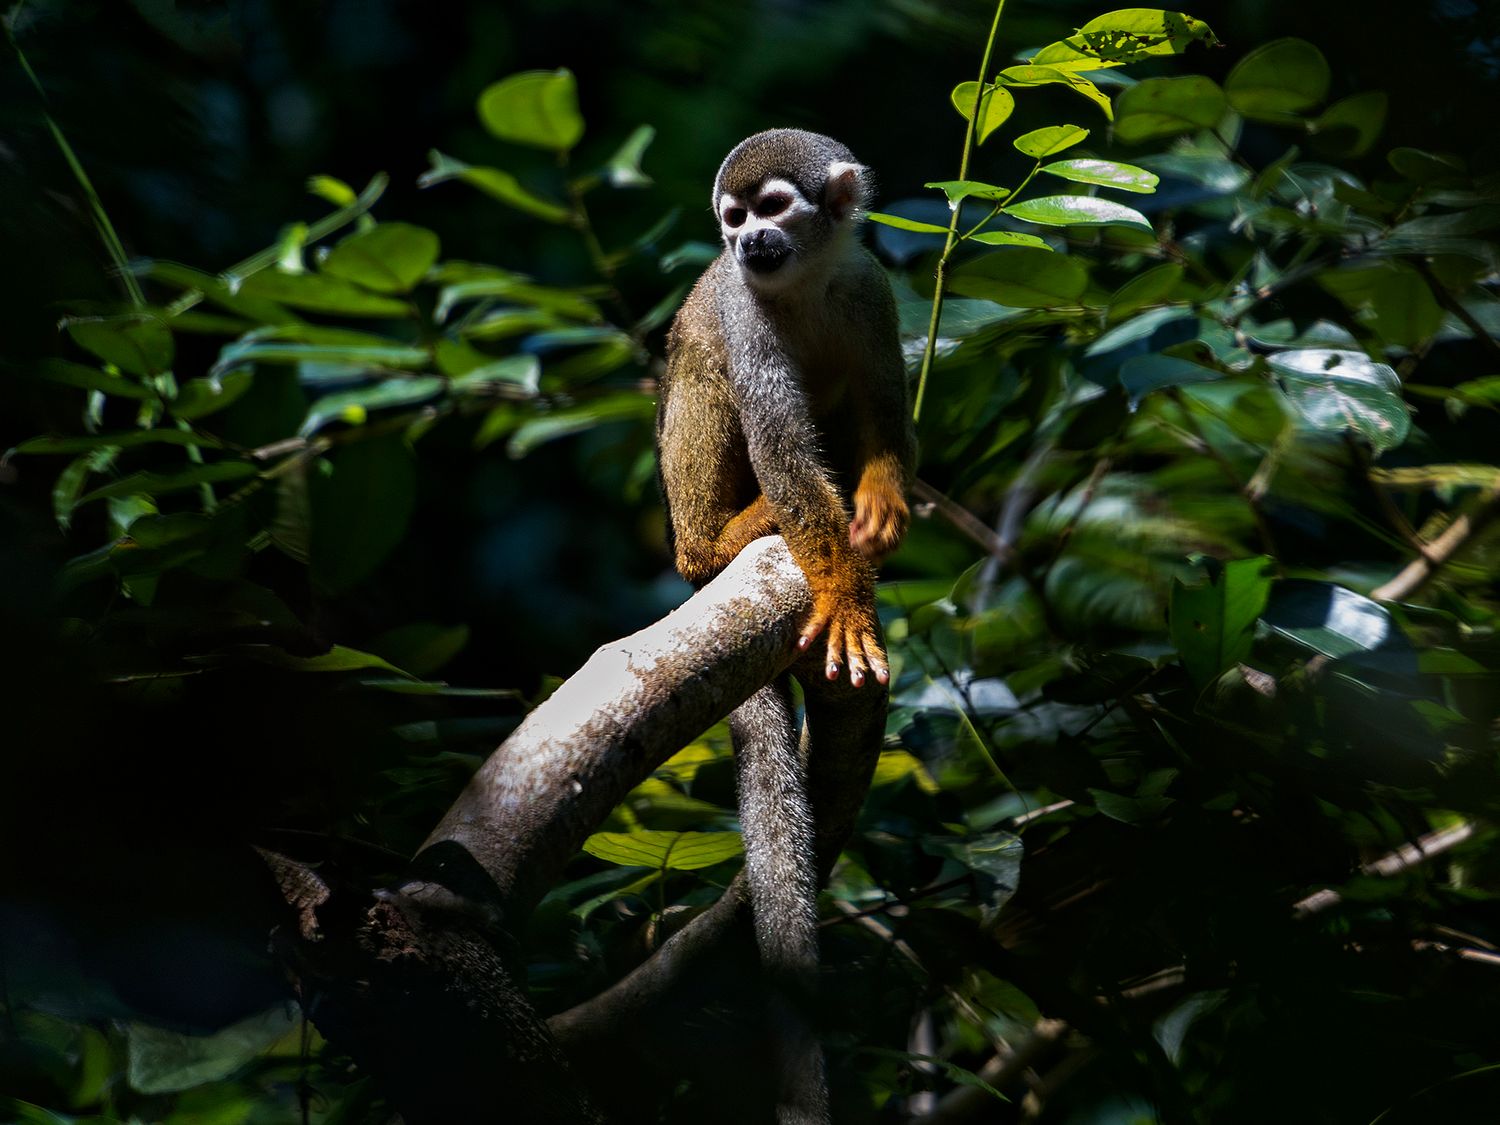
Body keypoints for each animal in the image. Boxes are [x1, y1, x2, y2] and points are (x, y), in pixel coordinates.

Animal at [655, 129, 915, 1125]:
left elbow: (885, 408)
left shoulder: (872, 285)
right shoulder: (746, 308)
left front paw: (881, 501)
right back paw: (725, 539)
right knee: (700, 372)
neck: (800, 280)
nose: (744, 244)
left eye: (770, 209)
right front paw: (842, 594)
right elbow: (781, 444)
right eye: (732, 220)